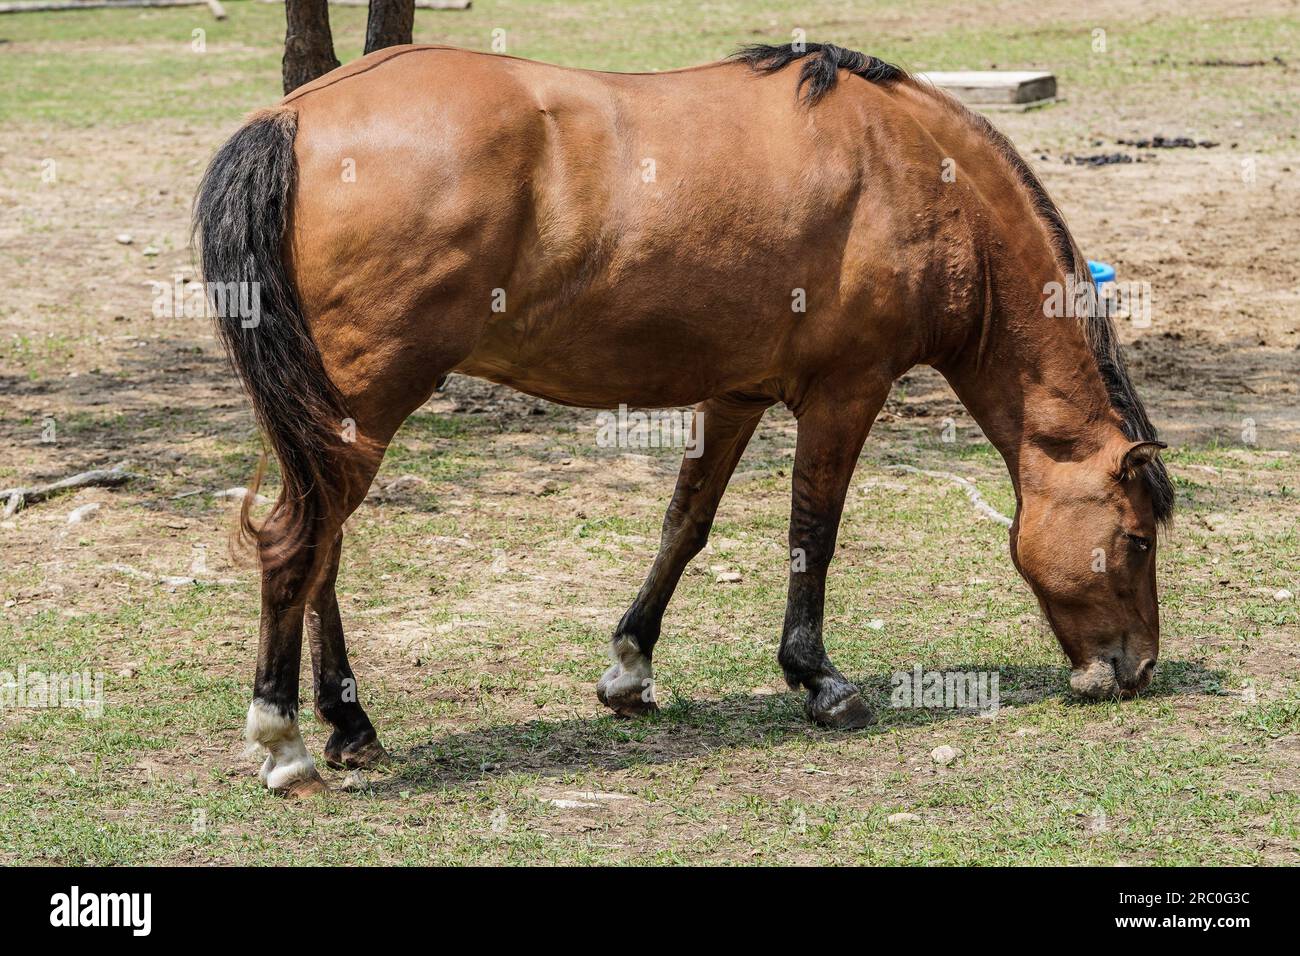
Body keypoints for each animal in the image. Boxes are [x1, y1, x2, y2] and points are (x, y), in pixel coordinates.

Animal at [195, 41, 1180, 796]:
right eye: (1136, 540)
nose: (1136, 671)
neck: (914, 171)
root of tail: (292, 117)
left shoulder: (734, 393)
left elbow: (686, 523)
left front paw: (631, 668)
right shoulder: (846, 392)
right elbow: (813, 532)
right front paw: (819, 680)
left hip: (328, 423)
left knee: (320, 553)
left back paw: (351, 724)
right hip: (363, 410)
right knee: (294, 547)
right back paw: (284, 743)